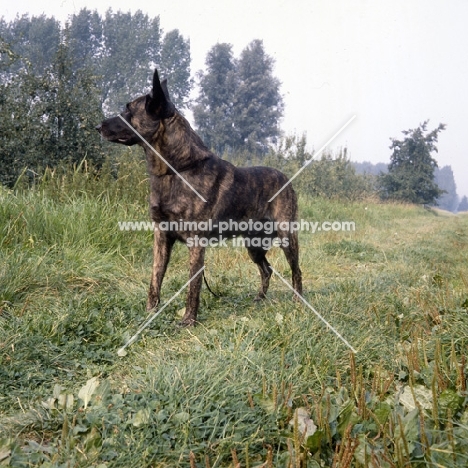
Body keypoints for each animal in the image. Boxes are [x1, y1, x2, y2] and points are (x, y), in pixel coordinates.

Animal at [98, 70, 304, 326]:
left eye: (128, 111)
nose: (97, 126)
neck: (176, 170)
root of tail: (286, 178)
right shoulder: (161, 236)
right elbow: (155, 278)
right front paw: (150, 313)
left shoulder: (196, 243)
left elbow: (193, 284)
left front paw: (188, 321)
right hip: (253, 245)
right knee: (267, 270)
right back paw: (259, 298)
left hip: (287, 238)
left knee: (296, 271)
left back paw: (298, 302)